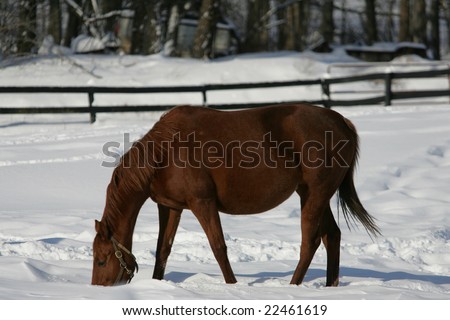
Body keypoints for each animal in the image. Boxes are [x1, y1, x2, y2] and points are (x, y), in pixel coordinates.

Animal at [91, 104, 380, 288]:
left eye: (102, 260)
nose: (97, 288)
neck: (166, 152)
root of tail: (342, 122)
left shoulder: (203, 203)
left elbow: (219, 248)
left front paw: (232, 286)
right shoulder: (171, 207)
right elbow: (163, 249)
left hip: (315, 195)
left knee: (310, 242)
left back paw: (293, 286)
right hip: (314, 195)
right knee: (332, 236)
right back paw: (331, 286)